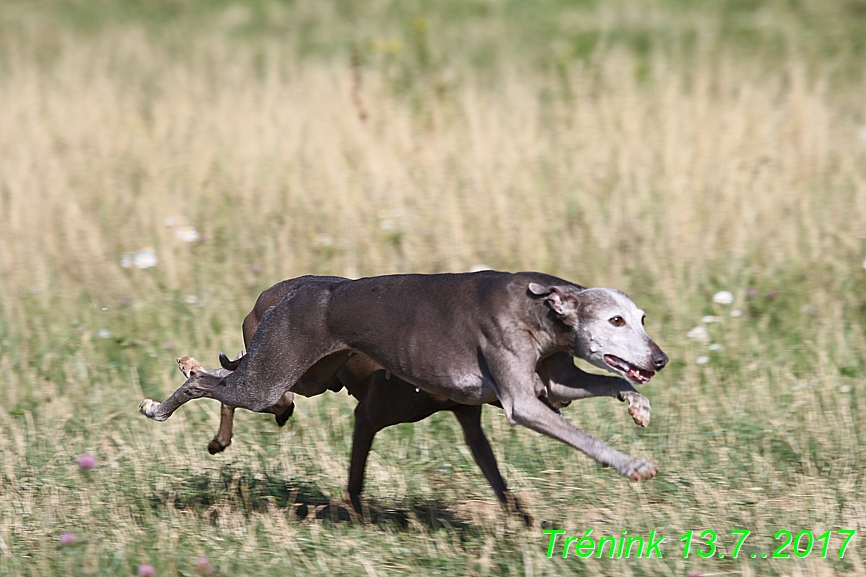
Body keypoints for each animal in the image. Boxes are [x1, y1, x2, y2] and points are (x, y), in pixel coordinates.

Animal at [142, 270, 668, 482]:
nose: (660, 359)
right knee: (209, 386)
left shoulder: (553, 381)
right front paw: (633, 465)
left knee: (226, 378)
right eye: (614, 321)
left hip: (300, 376)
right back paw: (157, 408)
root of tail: (289, 295)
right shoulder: (523, 401)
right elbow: (583, 437)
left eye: (641, 318)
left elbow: (611, 381)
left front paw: (638, 406)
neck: (539, 308)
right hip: (270, 377)